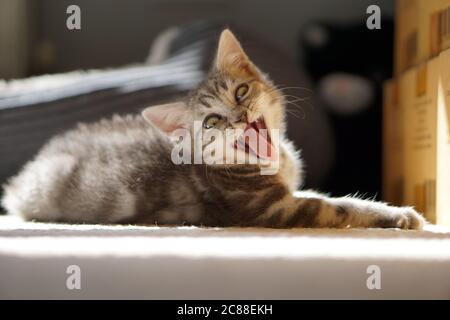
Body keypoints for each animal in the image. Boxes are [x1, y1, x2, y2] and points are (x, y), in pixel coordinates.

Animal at [2, 30, 426, 229]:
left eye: (241, 91)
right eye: (212, 122)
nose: (238, 118)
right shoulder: (273, 210)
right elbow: (338, 207)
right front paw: (399, 215)